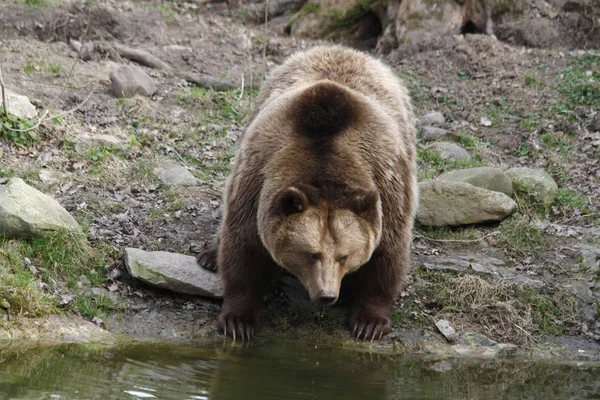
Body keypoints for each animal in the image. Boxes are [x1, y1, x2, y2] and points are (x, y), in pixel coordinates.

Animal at [197, 46, 418, 340]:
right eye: (311, 254)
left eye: (344, 256)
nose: (326, 295)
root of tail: (343, 49)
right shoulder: (259, 173)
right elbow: (244, 246)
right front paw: (238, 321)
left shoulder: (385, 177)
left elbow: (387, 252)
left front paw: (370, 322)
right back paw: (210, 257)